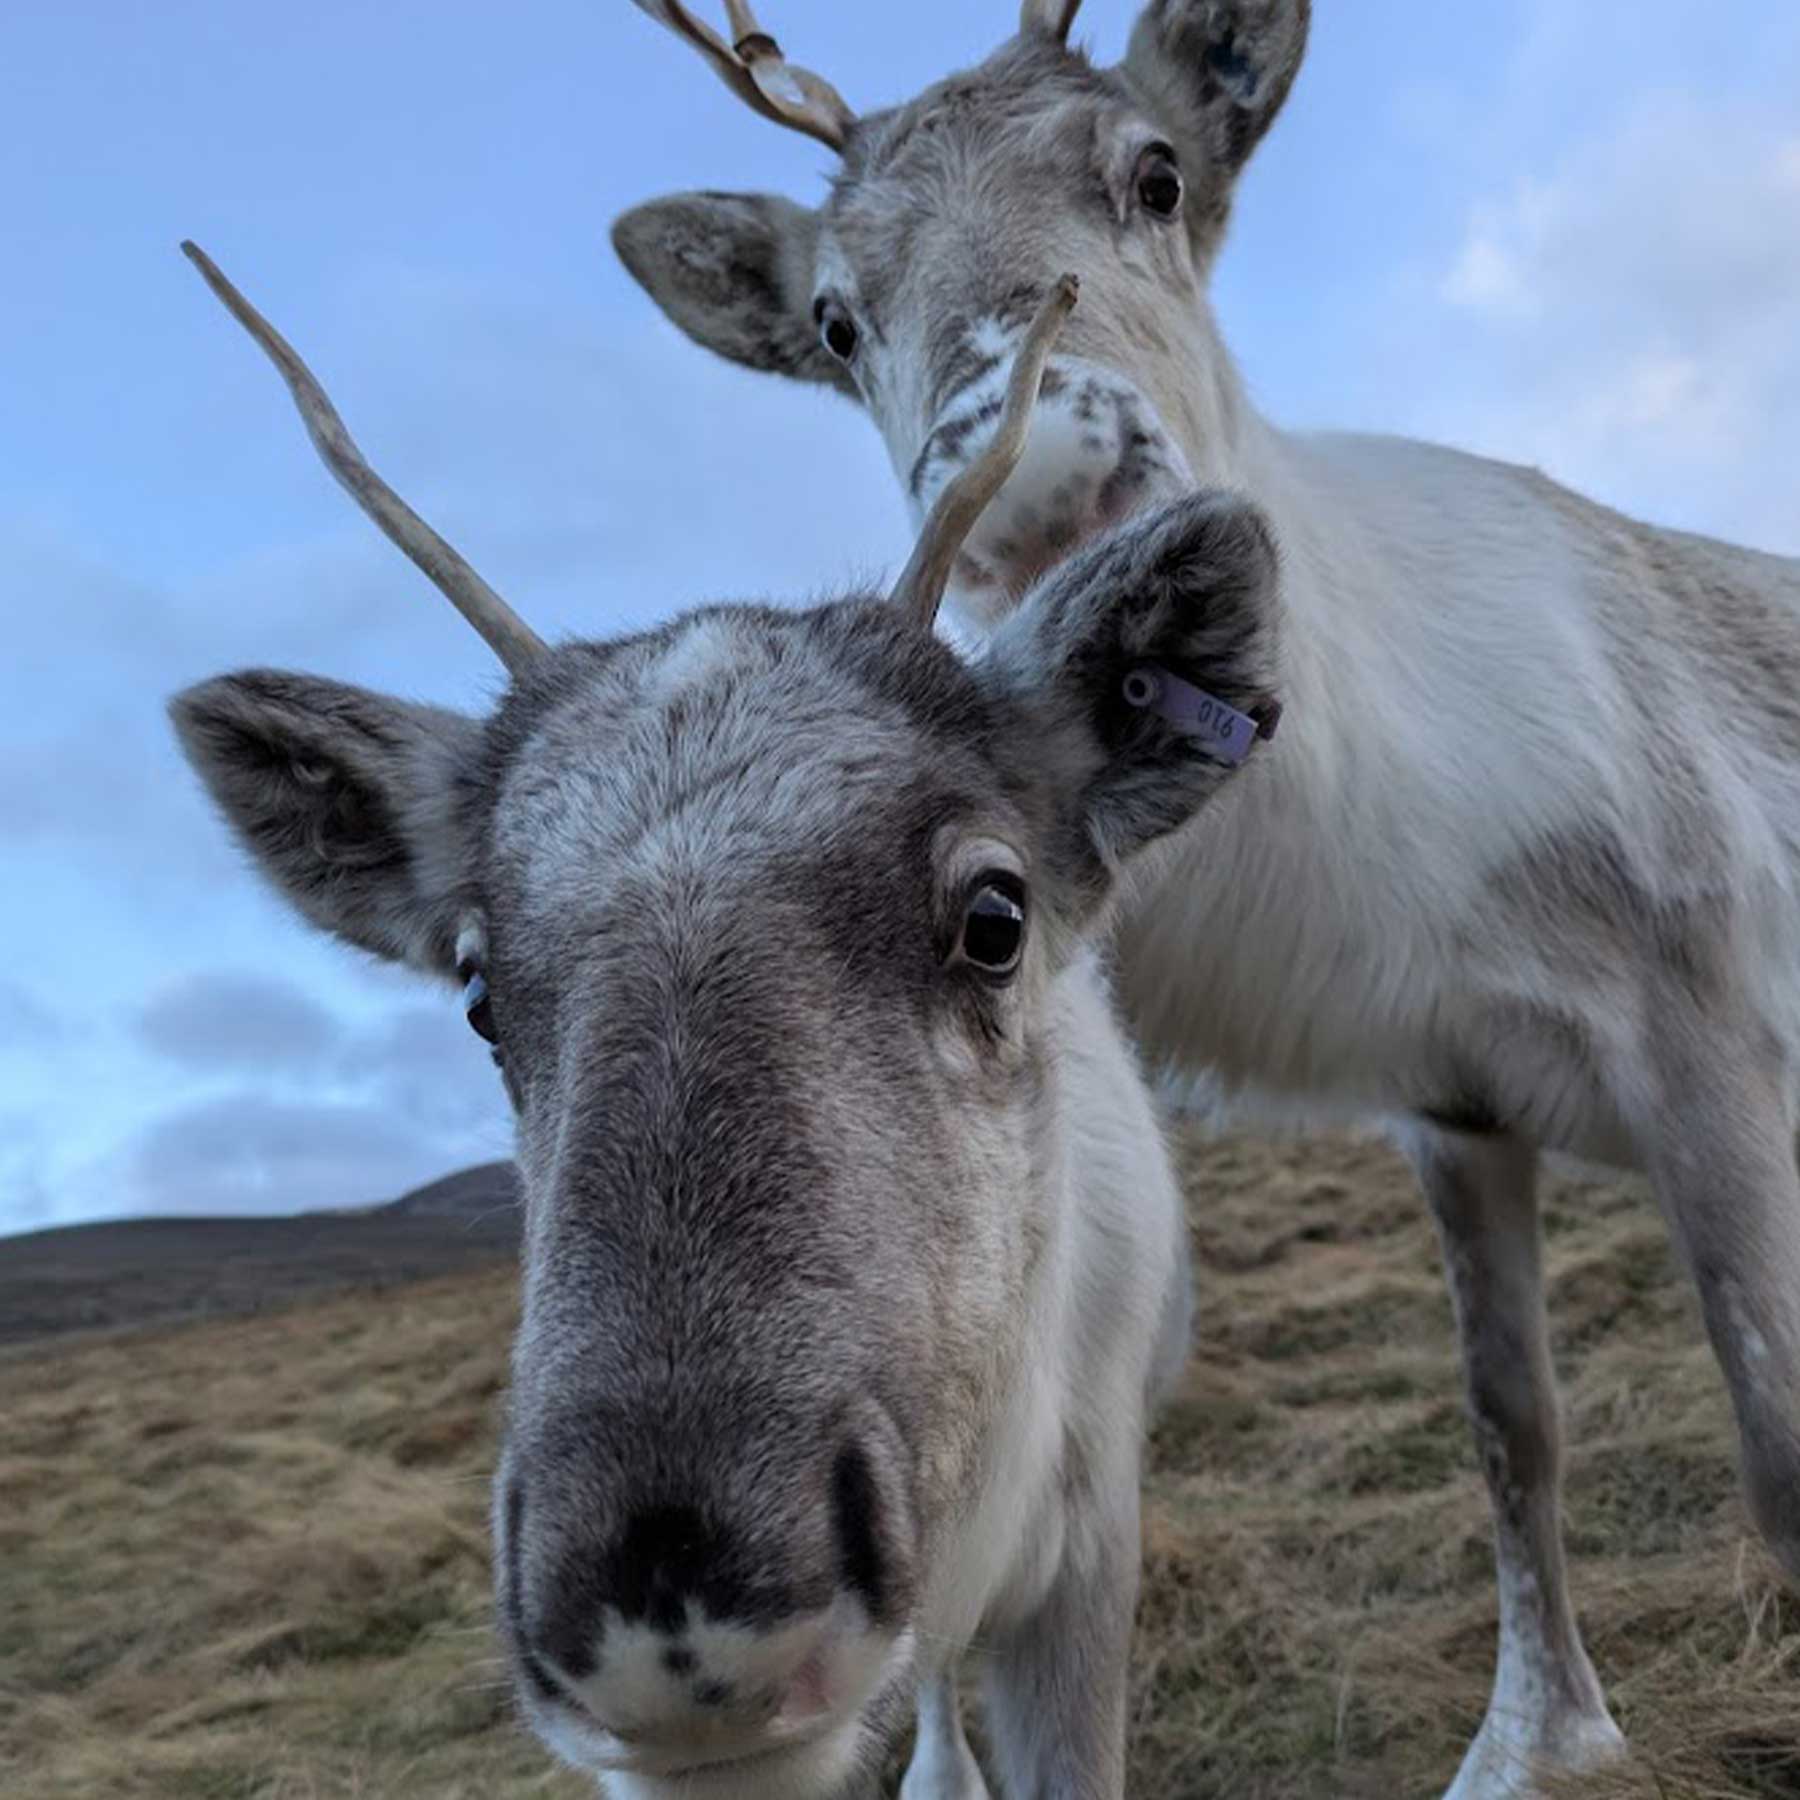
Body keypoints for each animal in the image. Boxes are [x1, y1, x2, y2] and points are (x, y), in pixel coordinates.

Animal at [610, 3, 1800, 1796]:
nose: (1041, 487)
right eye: (833, 317)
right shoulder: (1459, 1104)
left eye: (1155, 172)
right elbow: (1510, 1427)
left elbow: (1779, 1457)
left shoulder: (1706, 1026)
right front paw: (1538, 1736)